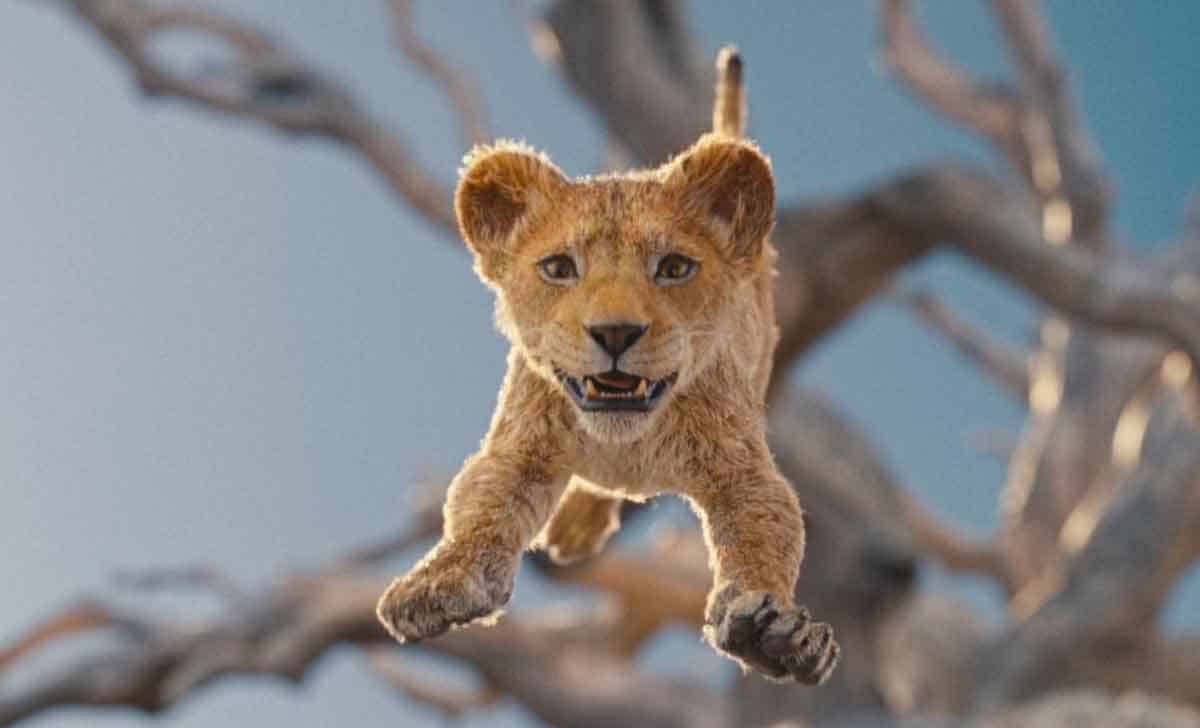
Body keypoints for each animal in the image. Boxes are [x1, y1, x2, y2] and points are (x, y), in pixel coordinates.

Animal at [376, 48, 840, 685]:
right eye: (558, 268)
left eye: (674, 267)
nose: (615, 332)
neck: (626, 440)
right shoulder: (519, 447)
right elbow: (479, 509)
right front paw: (437, 583)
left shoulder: (741, 469)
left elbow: (765, 533)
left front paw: (774, 632)